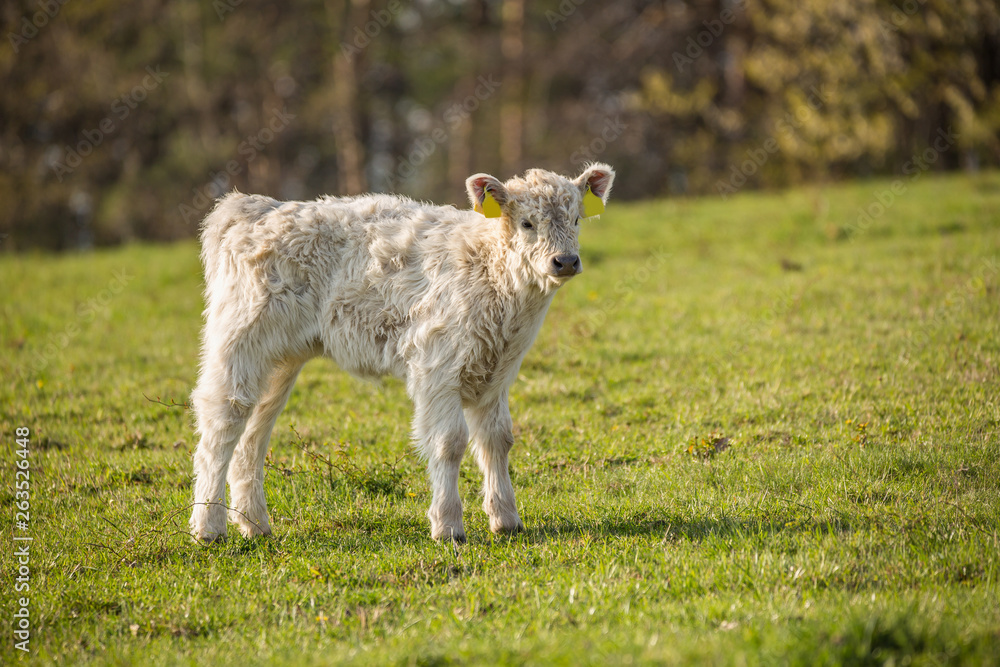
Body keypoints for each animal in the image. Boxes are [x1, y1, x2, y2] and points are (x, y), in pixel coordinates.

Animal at [189, 162, 615, 543]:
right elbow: (449, 442)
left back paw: (254, 524)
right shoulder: (437, 366)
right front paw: (448, 525)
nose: (565, 261)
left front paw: (506, 519)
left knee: (253, 433)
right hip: (238, 340)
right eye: (527, 223)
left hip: (280, 361)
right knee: (222, 424)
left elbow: (498, 439)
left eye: (577, 218)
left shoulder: (498, 373)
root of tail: (255, 206)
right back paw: (209, 527)